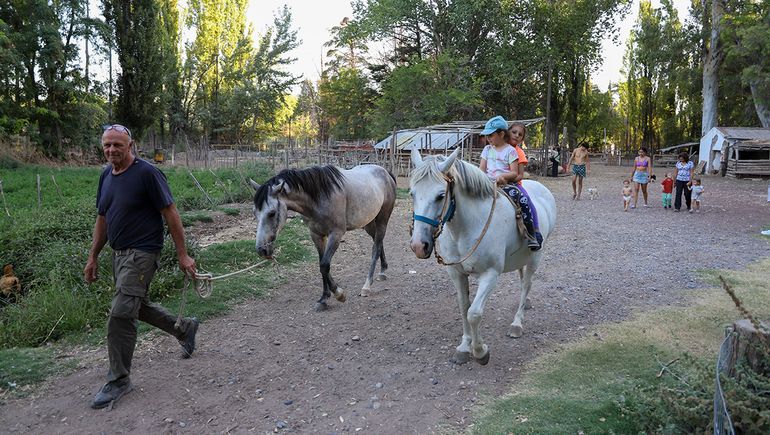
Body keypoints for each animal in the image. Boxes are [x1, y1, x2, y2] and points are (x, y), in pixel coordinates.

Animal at [250, 165, 396, 312]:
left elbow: (325, 265)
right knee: (378, 243)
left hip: (382, 220)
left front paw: (339, 294)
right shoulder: (317, 235)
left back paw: (367, 286)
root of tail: (385, 172)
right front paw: (324, 298)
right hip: (368, 223)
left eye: (272, 213)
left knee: (376, 248)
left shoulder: (335, 235)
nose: (262, 250)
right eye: (255, 212)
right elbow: (321, 264)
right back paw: (383, 270)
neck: (319, 197)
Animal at [412, 149, 556, 364]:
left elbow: (474, 313)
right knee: (523, 280)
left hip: (536, 257)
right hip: (522, 258)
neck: (468, 227)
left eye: (440, 196)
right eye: (412, 193)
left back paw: (517, 324)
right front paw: (464, 347)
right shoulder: (456, 273)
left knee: (526, 285)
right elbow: (464, 307)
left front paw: (480, 351)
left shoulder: (490, 274)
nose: (419, 246)